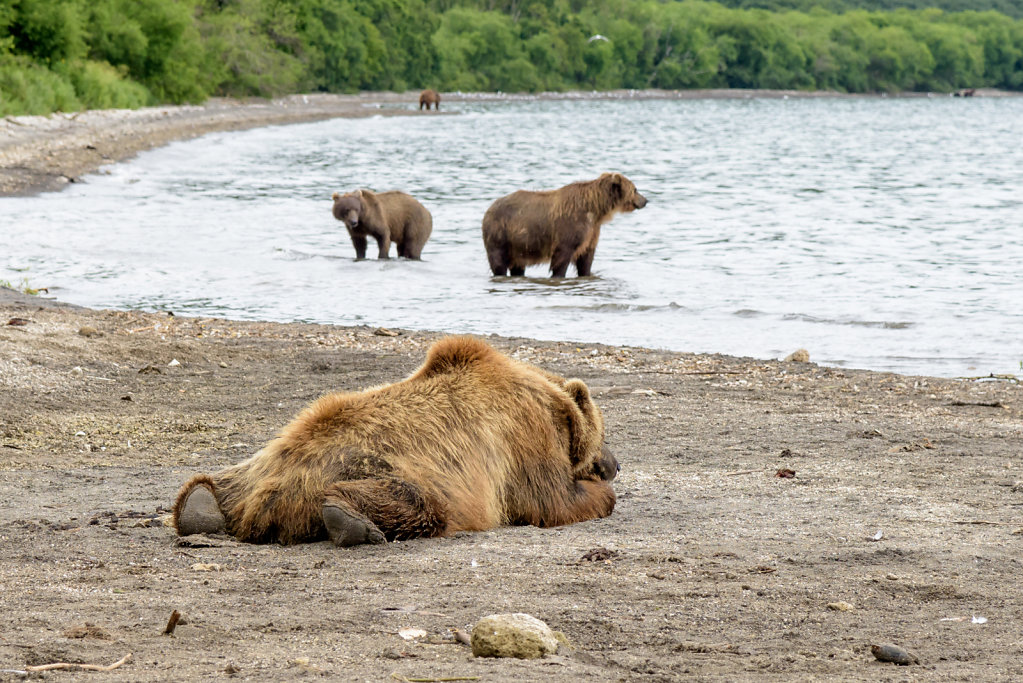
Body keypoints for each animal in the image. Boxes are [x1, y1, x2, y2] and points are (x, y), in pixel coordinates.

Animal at [172, 333, 617, 548]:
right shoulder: (524, 437)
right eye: (605, 433)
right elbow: (553, 500)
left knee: (215, 482)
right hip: (397, 472)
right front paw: (601, 494)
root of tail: (260, 503)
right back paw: (352, 522)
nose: (615, 463)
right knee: (418, 503)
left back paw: (199, 508)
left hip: (255, 463)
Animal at [480, 171, 646, 276]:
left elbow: (586, 258)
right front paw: (558, 274)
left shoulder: (591, 232)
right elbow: (562, 257)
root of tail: (489, 208)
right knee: (498, 262)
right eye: (635, 189)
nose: (645, 200)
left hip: (518, 244)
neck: (595, 210)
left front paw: (585, 272)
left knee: (517, 266)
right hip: (500, 232)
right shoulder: (570, 228)